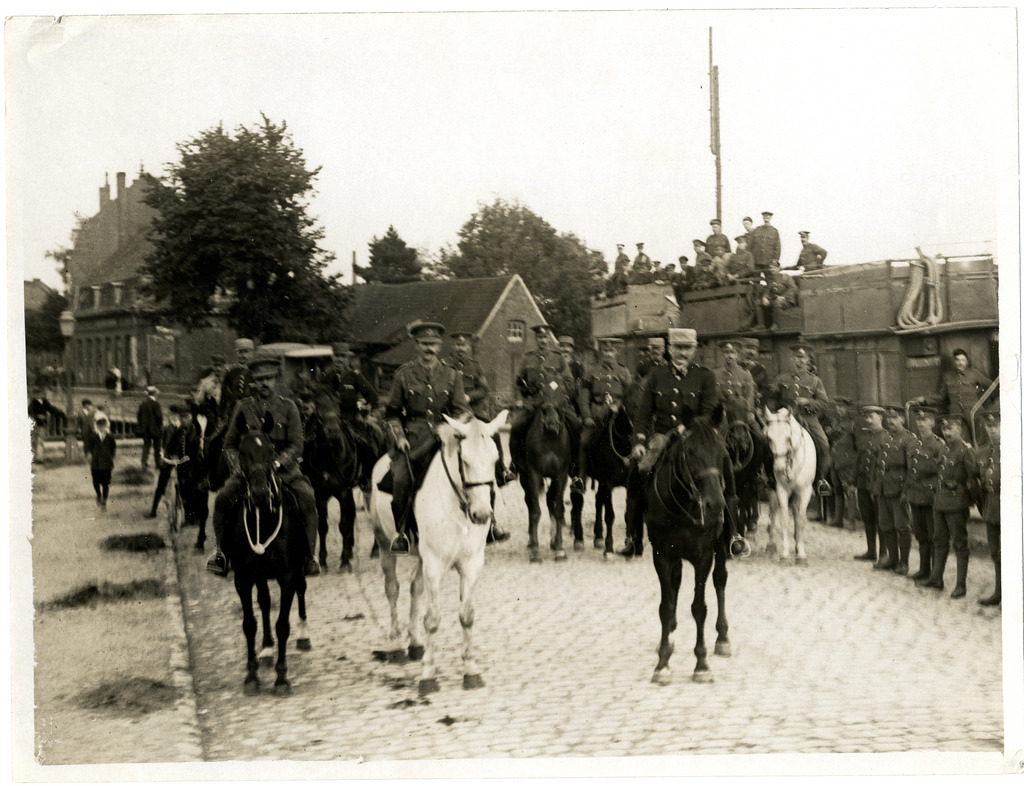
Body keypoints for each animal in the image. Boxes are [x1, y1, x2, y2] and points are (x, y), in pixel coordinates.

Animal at [222, 423, 305, 695]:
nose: (259, 494)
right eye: (242, 453)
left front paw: (281, 678)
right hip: (259, 575)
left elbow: (283, 625)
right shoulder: (243, 577)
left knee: (301, 590)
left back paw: (303, 637)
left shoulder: (288, 576)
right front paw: (251, 675)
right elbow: (249, 623)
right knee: (265, 602)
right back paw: (267, 648)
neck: (264, 519)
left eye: (271, 451)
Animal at [372, 411, 507, 695]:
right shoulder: (434, 564)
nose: (482, 515)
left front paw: (470, 671)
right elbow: (432, 619)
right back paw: (396, 643)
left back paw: (414, 643)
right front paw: (428, 676)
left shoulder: (471, 563)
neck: (458, 507)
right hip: (384, 543)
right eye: (465, 461)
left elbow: (467, 616)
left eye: (495, 459)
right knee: (392, 589)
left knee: (414, 588)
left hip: (422, 557)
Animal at [647, 409, 737, 683]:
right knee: (675, 583)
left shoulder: (703, 556)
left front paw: (701, 664)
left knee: (720, 579)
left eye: (720, 452)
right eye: (691, 452)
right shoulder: (662, 555)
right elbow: (665, 607)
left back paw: (722, 637)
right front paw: (663, 662)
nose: (715, 505)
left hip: (721, 546)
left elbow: (699, 608)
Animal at [770, 405, 815, 564]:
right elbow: (784, 518)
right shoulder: (781, 490)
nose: (778, 468)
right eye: (769, 438)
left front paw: (801, 555)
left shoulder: (805, 491)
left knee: (796, 512)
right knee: (774, 512)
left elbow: (801, 519)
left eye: (788, 438)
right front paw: (784, 554)